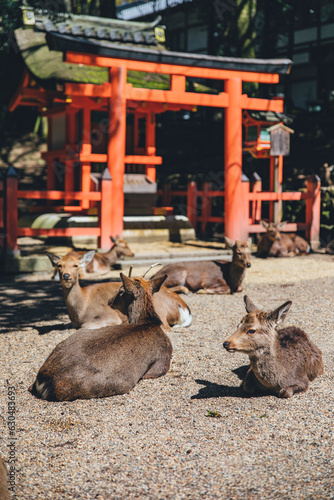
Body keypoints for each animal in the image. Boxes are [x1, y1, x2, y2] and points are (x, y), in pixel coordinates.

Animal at [45, 252, 192, 330]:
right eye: (59, 265)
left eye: (76, 265)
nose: (66, 276)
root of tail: (184, 308)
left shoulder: (109, 315)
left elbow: (84, 327)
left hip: (160, 310)